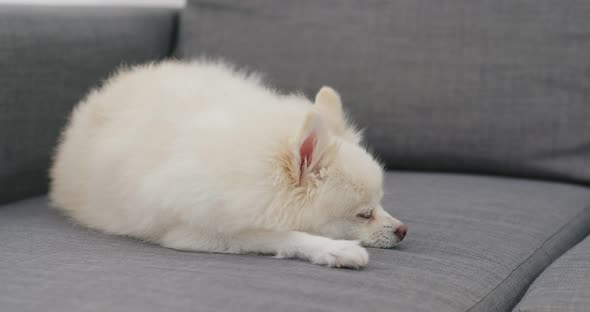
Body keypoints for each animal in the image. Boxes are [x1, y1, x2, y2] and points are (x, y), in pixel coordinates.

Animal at [51, 60, 408, 268]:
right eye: (364, 214)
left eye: (380, 204)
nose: (403, 230)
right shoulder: (195, 231)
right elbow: (279, 235)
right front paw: (336, 249)